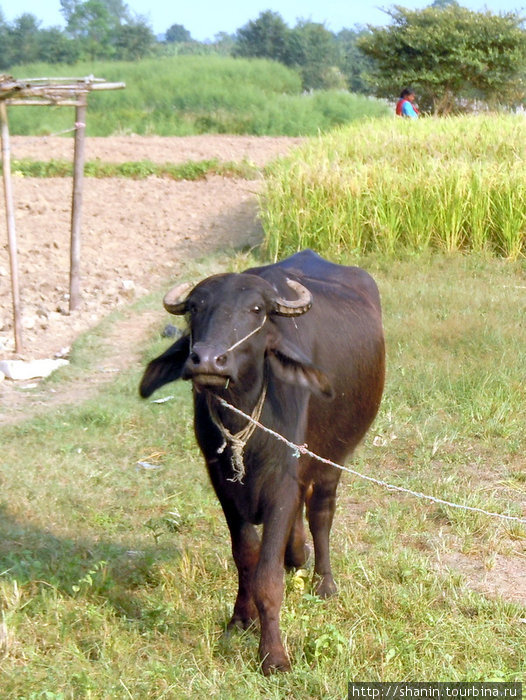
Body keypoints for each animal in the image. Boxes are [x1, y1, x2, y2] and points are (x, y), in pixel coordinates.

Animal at [139, 250, 388, 672]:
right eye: (195, 307)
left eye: (256, 309)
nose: (208, 360)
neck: (245, 419)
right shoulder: (223, 484)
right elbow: (246, 556)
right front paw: (241, 620)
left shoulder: (282, 481)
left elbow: (268, 574)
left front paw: (273, 655)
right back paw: (297, 556)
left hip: (334, 457)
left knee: (321, 512)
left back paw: (324, 582)